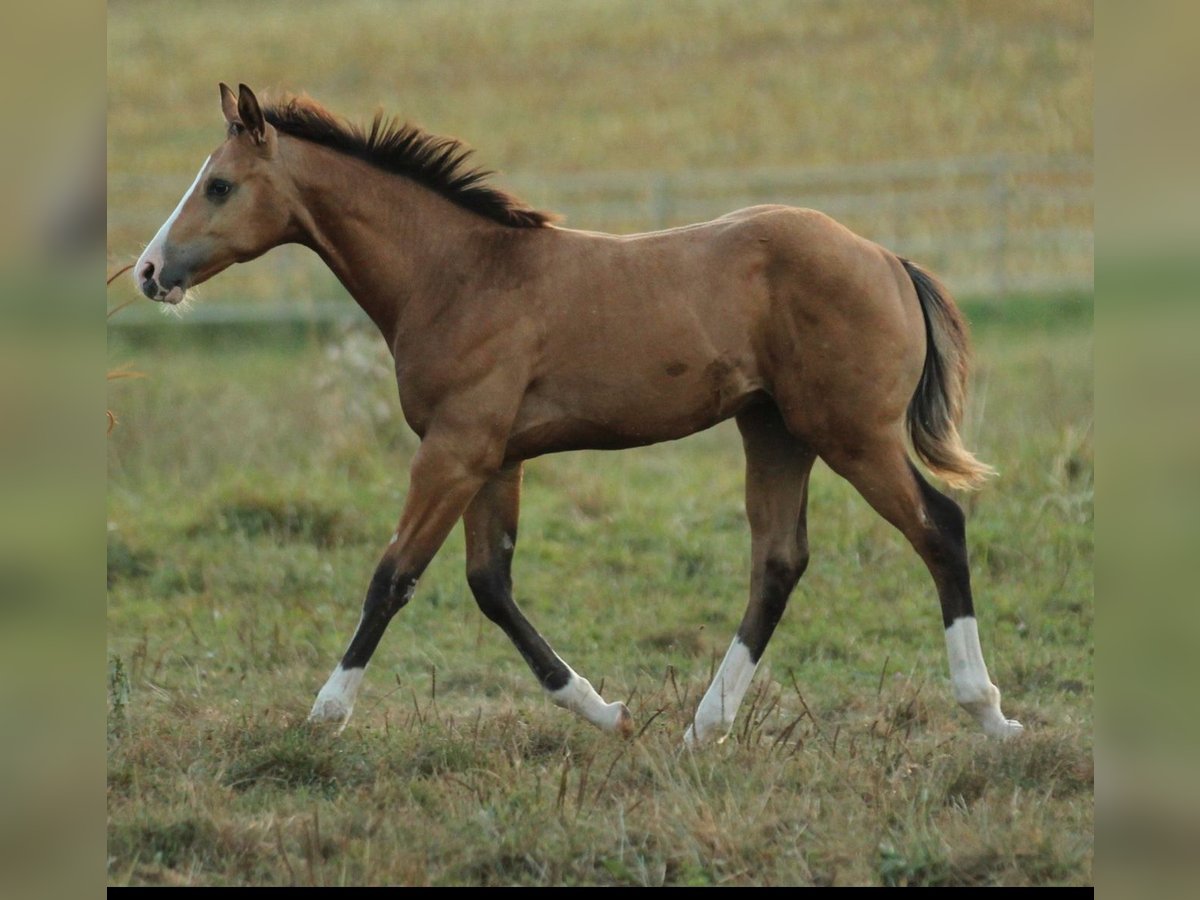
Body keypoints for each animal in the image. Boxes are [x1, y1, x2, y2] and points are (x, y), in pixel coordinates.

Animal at [134, 83, 1022, 745]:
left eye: (218, 185)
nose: (148, 271)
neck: (458, 274)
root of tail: (886, 260)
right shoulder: (494, 458)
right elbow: (489, 584)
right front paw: (605, 710)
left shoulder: (455, 450)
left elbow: (393, 575)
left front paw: (324, 715)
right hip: (774, 430)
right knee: (779, 561)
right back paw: (703, 727)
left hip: (850, 432)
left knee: (939, 528)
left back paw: (988, 712)